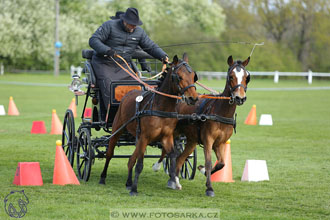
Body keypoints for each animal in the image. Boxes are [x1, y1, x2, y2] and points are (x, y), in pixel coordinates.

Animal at [99, 53, 199, 196]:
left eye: (194, 76)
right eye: (179, 76)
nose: (193, 98)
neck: (161, 107)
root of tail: (128, 93)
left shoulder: (166, 137)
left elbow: (173, 156)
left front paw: (174, 181)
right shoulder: (145, 137)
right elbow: (140, 164)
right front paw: (135, 189)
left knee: (131, 159)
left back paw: (128, 182)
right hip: (117, 130)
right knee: (110, 154)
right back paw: (103, 178)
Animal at [154, 55, 250, 197]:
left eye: (247, 77)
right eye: (231, 76)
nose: (240, 98)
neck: (220, 111)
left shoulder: (220, 143)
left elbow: (222, 163)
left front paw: (203, 170)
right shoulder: (208, 140)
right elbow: (209, 162)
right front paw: (209, 187)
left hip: (191, 140)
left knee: (180, 158)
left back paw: (174, 180)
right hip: (171, 132)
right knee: (167, 152)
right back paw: (160, 167)